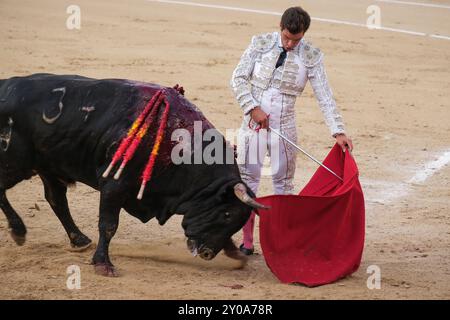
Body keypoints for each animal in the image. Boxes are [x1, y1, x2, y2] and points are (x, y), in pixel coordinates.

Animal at [0, 74, 266, 276]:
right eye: (226, 213)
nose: (207, 253)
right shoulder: (114, 185)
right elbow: (108, 225)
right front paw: (103, 265)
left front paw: (234, 253)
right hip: (16, 163)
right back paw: (19, 231)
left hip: (49, 166)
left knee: (56, 199)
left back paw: (79, 240)